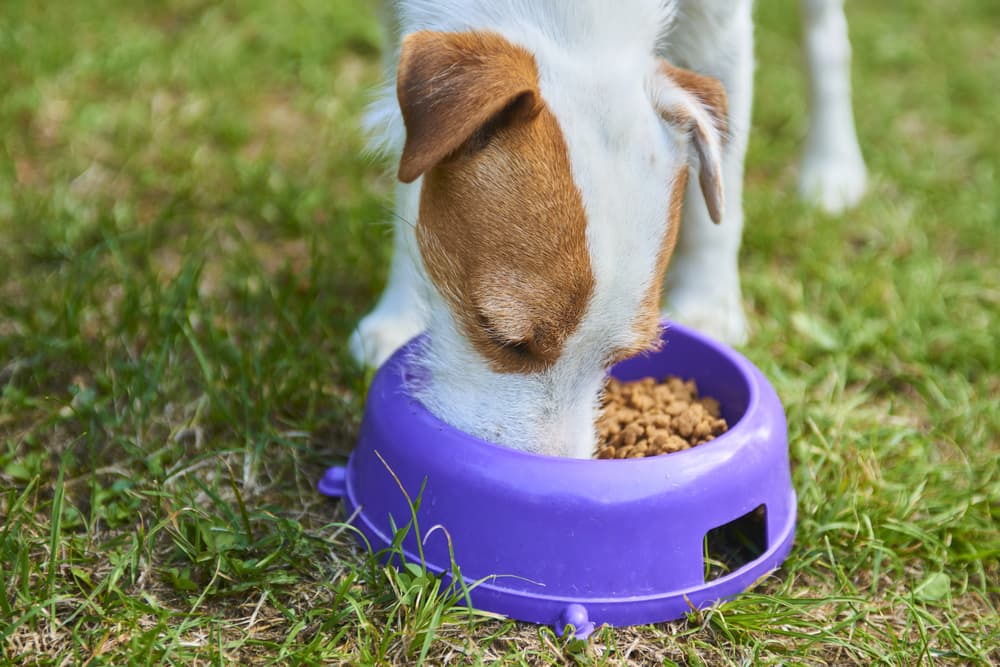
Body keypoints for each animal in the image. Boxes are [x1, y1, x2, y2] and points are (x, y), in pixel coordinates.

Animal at [348, 0, 864, 460]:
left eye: (618, 359)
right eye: (497, 333)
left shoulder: (721, 25)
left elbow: (723, 191)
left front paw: (708, 306)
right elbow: (409, 177)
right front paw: (401, 314)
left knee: (827, 40)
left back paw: (833, 166)